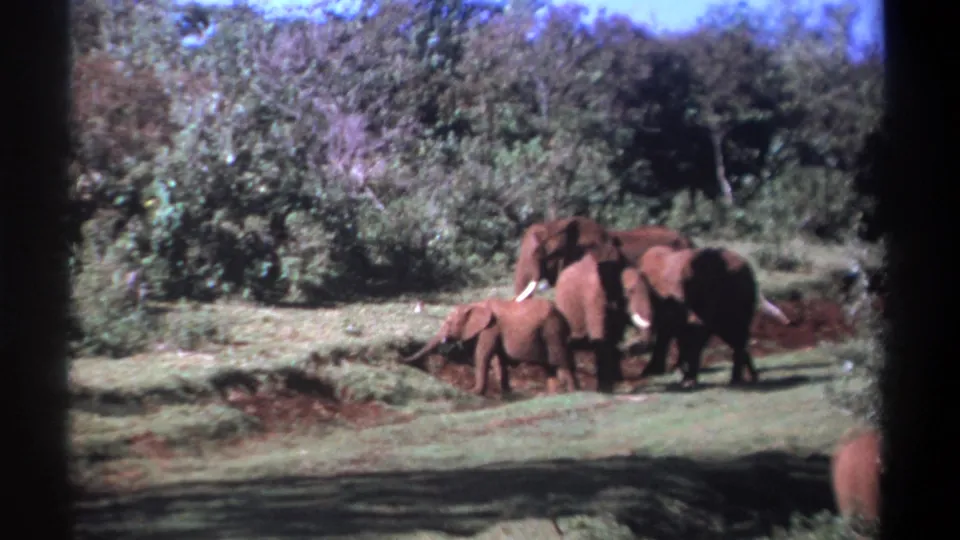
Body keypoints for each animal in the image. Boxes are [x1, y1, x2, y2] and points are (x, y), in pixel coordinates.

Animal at [400, 297, 579, 396]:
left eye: (449, 323)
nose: (400, 358)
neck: (474, 305)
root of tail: (564, 317)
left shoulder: (490, 328)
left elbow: (482, 355)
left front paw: (474, 392)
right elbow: (499, 359)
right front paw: (506, 394)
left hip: (552, 330)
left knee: (560, 360)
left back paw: (571, 392)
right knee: (554, 365)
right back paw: (557, 393)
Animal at [552, 237, 635, 393]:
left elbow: (612, 335)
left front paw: (613, 385)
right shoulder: (592, 294)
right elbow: (602, 338)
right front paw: (606, 389)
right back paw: (572, 388)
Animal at [622, 245, 793, 388]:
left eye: (690, 285)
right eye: (629, 292)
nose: (630, 346)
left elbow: (693, 332)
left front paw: (686, 380)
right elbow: (675, 332)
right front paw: (666, 373)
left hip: (743, 295)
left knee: (736, 333)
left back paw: (736, 380)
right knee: (733, 335)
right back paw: (748, 378)